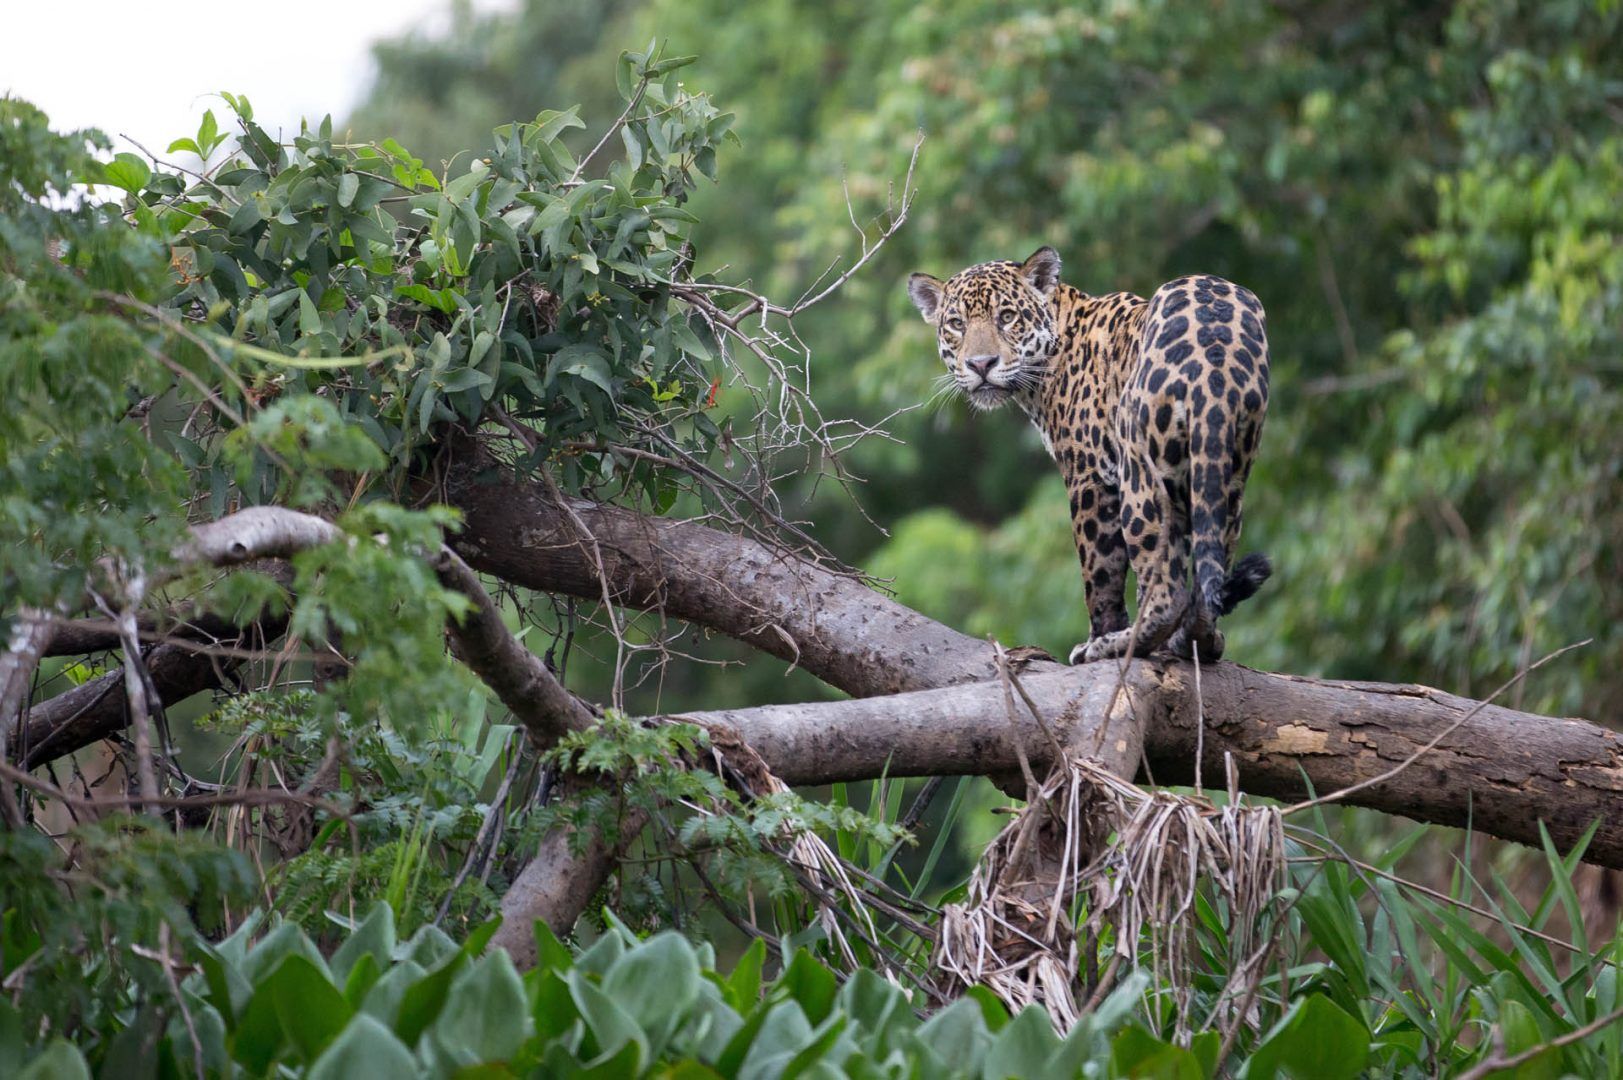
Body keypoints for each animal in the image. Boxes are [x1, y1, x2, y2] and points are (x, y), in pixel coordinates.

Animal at [906, 246, 1272, 665]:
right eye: (956, 323)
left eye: (1008, 317)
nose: (981, 364)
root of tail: (1215, 356)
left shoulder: (1090, 476)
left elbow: (1099, 571)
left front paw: (1098, 636)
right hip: (1228, 471)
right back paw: (1197, 639)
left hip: (1140, 473)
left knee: (1165, 588)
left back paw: (1122, 644)